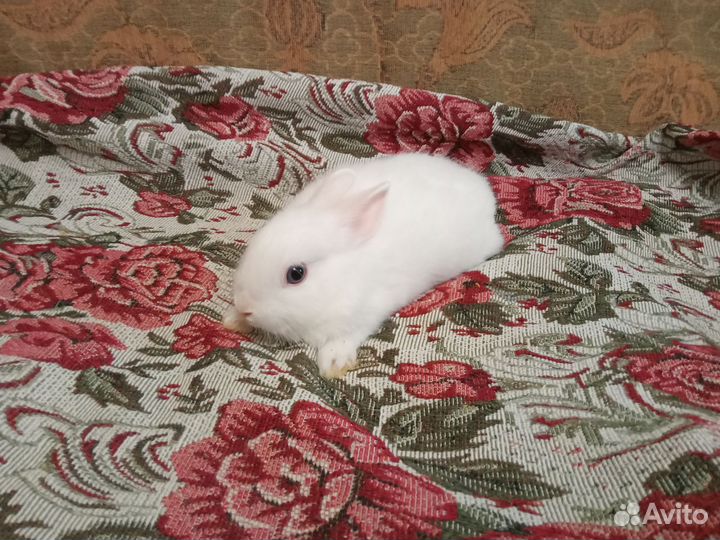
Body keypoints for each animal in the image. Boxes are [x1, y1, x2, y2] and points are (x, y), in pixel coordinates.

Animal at [223, 153, 504, 378]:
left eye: (296, 274)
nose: (245, 306)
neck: (342, 276)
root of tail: (482, 189)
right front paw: (233, 320)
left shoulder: (365, 312)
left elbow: (345, 337)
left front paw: (334, 363)